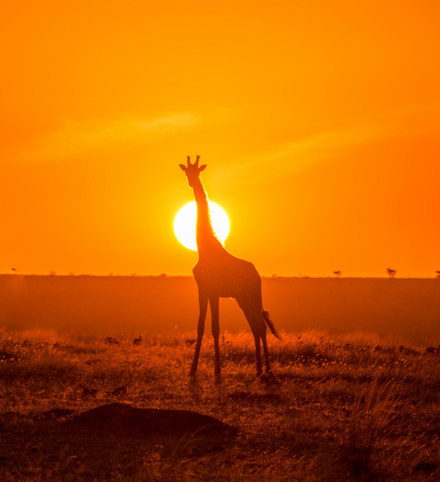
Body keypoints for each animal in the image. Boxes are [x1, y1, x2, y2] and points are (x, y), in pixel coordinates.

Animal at [180, 156, 280, 378]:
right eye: (186, 172)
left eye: (198, 171)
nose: (192, 182)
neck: (205, 248)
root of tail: (257, 275)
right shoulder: (202, 290)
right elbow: (200, 327)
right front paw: (192, 369)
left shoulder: (214, 291)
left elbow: (215, 327)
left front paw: (217, 369)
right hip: (243, 299)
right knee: (256, 327)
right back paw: (259, 370)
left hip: (252, 297)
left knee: (260, 326)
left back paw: (268, 370)